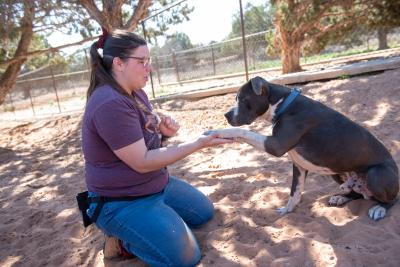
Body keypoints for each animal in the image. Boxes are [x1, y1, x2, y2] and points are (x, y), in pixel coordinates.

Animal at [208, 76, 398, 221]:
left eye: (242, 99)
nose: (226, 115)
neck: (283, 105)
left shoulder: (275, 145)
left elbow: (242, 131)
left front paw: (218, 132)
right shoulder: (299, 166)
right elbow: (295, 192)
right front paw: (287, 210)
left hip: (375, 175)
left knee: (393, 198)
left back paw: (379, 208)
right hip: (337, 173)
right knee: (357, 193)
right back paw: (340, 197)